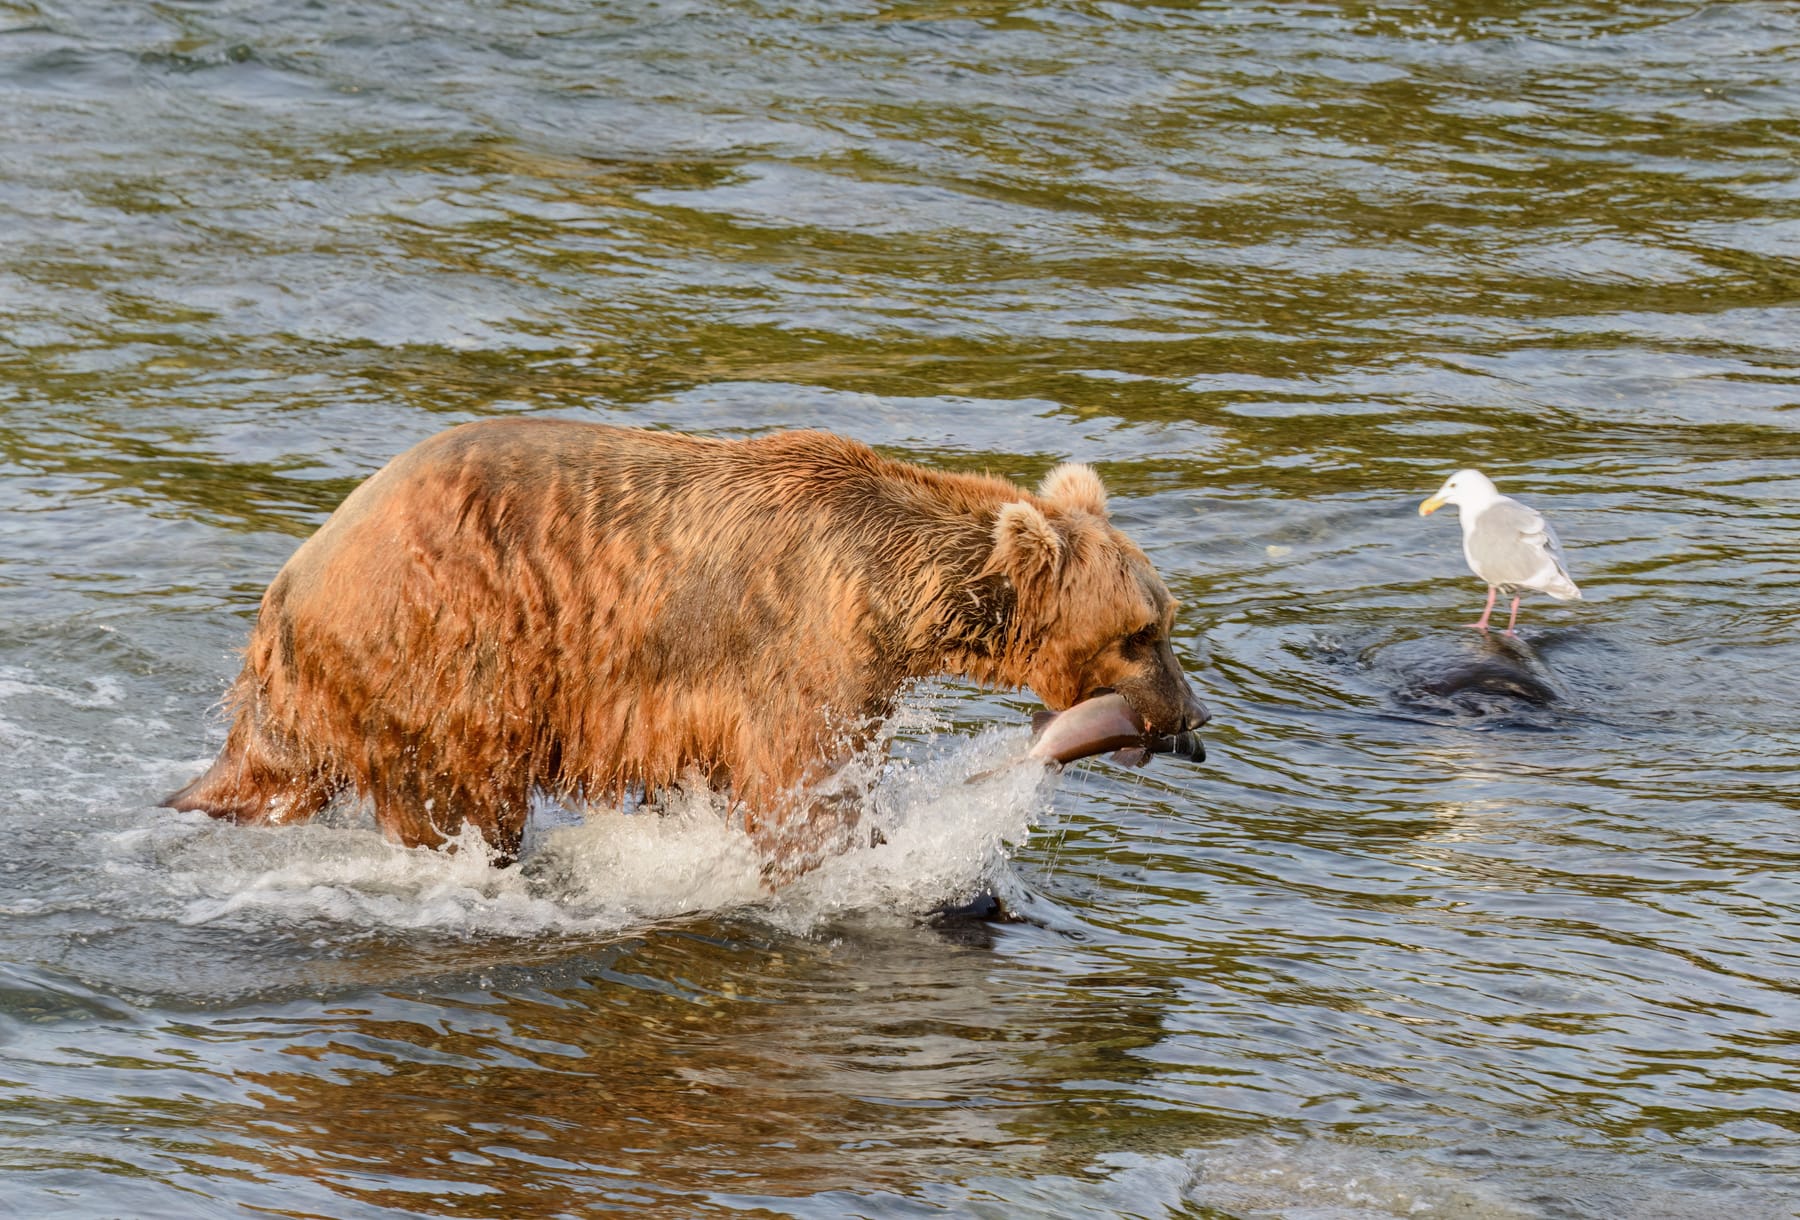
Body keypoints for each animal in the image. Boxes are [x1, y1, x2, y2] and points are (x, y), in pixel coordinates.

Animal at [165, 419, 1209, 870]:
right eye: (1141, 632)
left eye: (1166, 621)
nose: (1191, 719)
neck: (891, 596)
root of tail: (293, 581)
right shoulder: (801, 649)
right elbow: (804, 789)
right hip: (450, 652)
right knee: (457, 794)